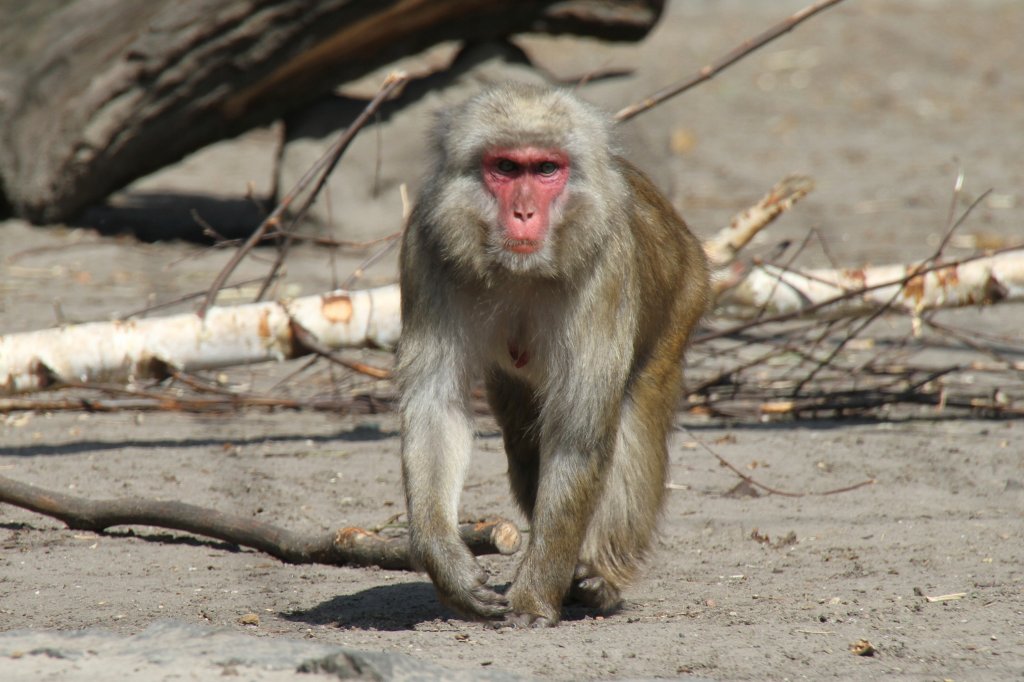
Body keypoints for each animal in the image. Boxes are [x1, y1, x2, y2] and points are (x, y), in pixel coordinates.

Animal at [395, 82, 708, 622]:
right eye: (505, 167)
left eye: (545, 169)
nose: (523, 213)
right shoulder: (426, 245)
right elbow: (436, 407)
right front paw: (446, 562)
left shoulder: (606, 266)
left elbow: (578, 436)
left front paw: (535, 593)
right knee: (524, 442)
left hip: (685, 297)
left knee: (632, 419)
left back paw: (598, 576)